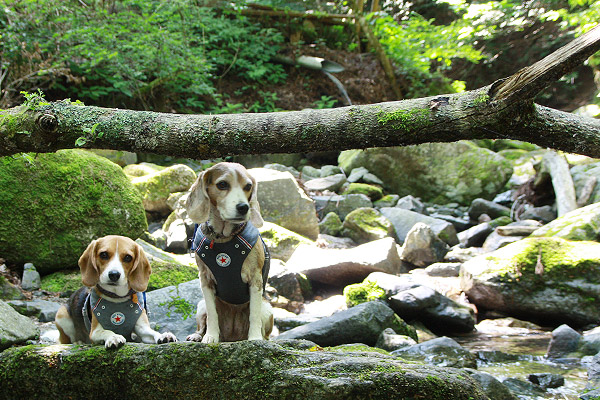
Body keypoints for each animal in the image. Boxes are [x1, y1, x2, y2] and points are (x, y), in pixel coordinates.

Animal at [185, 161, 274, 342]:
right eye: (222, 184)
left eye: (248, 186)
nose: (243, 207)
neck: (223, 238)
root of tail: (233, 336)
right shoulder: (205, 280)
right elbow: (212, 315)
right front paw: (210, 337)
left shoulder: (255, 280)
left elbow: (254, 314)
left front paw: (254, 339)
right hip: (200, 305)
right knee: (202, 324)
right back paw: (197, 336)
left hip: (267, 309)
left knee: (264, 329)